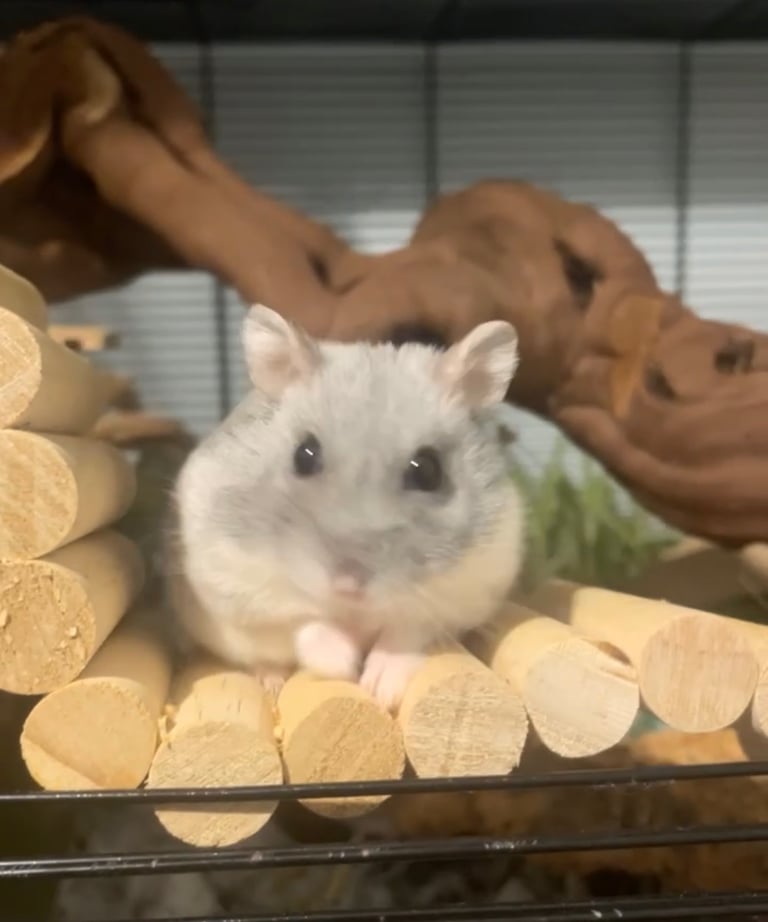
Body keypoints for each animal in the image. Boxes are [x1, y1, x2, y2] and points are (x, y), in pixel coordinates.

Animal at [166, 304, 525, 711]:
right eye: (304, 455)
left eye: (428, 470)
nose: (349, 587)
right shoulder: (233, 579)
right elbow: (302, 622)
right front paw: (346, 664)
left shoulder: (472, 586)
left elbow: (407, 629)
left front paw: (379, 687)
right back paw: (271, 680)